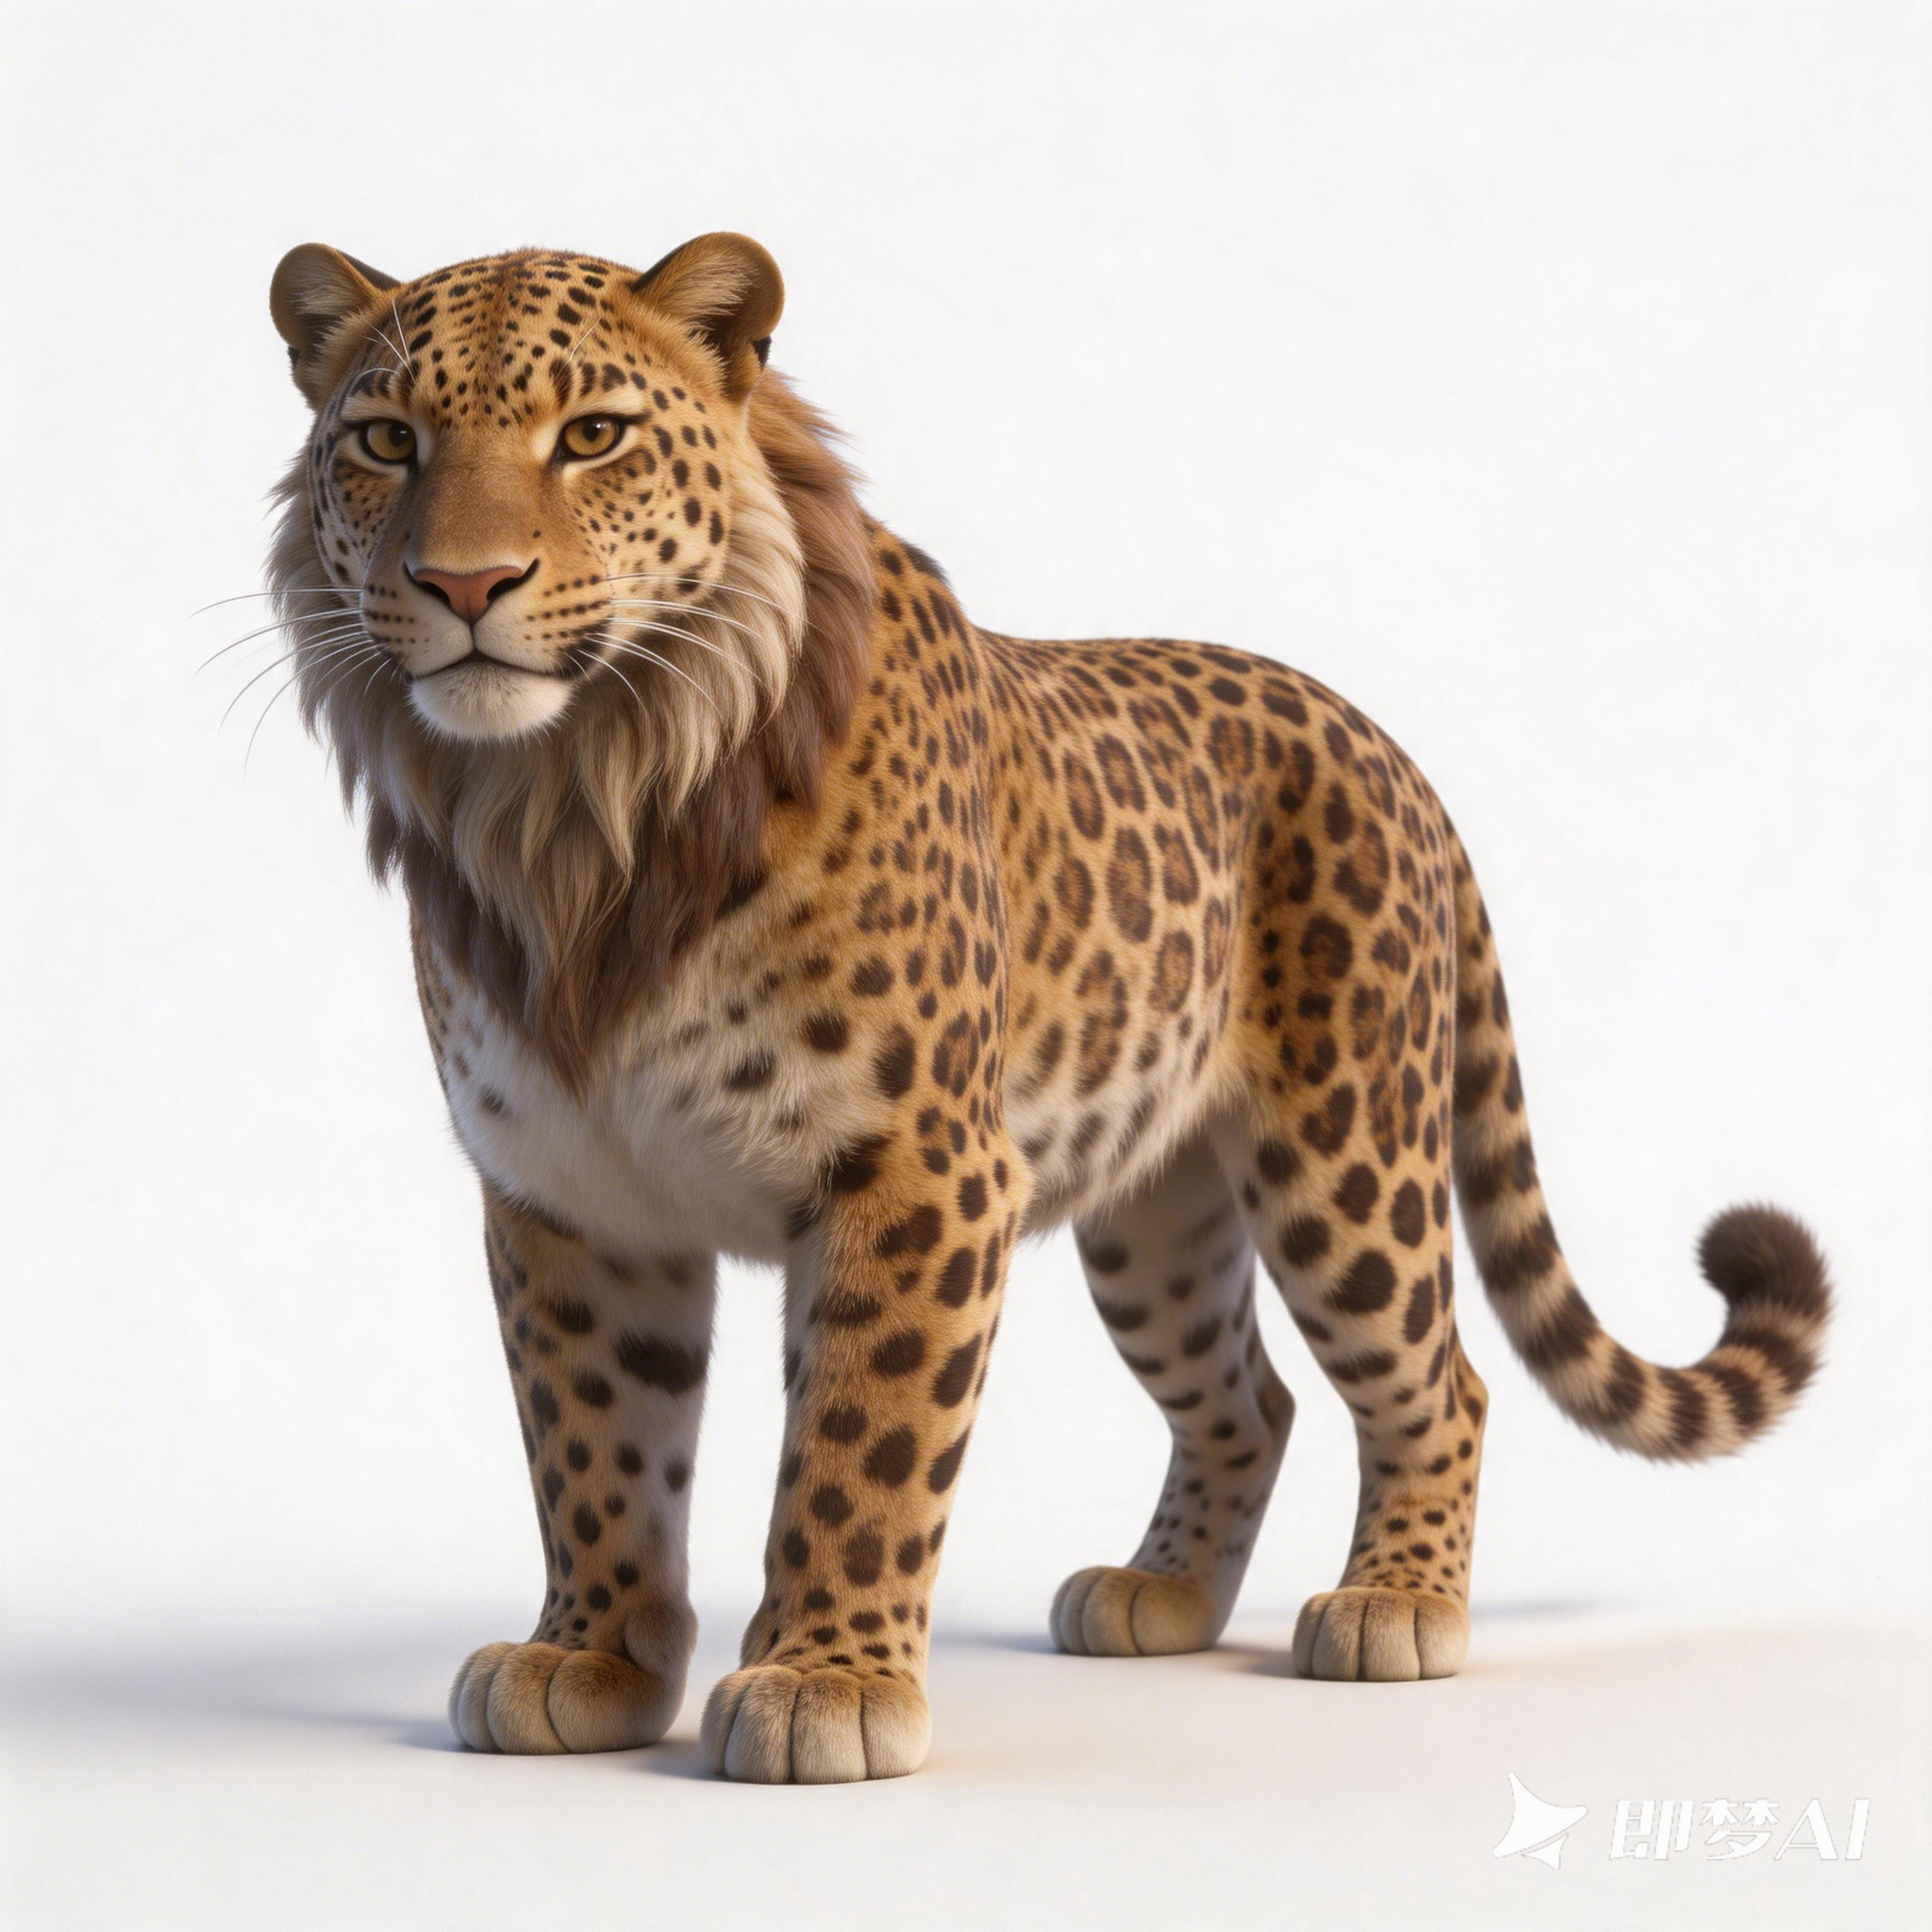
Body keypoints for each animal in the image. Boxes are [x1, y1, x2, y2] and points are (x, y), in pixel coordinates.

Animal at [261, 232, 1832, 1783]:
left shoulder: (916, 1170)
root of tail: (1384, 746)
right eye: (388, 441)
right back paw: (1164, 1595)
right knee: (1248, 1395)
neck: (571, 808)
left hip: (1347, 1162)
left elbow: (862, 1442)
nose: (466, 586)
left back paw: (1394, 1603)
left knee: (1442, 1380)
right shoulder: (569, 1188)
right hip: (1156, 1219)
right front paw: (591, 1659)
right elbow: (593, 1442)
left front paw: (825, 1685)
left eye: (591, 436)